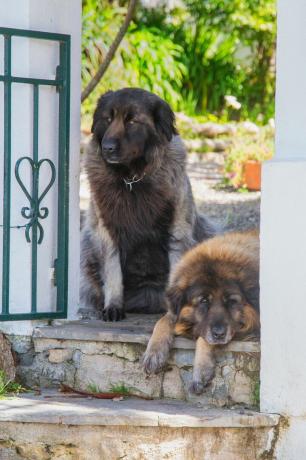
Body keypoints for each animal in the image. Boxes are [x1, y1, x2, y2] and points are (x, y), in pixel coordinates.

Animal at [80, 88, 216, 322]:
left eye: (132, 121)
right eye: (108, 119)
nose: (107, 148)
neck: (132, 179)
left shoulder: (177, 231)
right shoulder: (106, 231)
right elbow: (113, 272)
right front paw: (113, 307)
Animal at [142, 232, 260, 394]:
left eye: (231, 301)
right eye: (204, 301)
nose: (219, 334)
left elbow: (204, 339)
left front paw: (201, 371)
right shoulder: (174, 312)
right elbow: (162, 322)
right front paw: (153, 353)